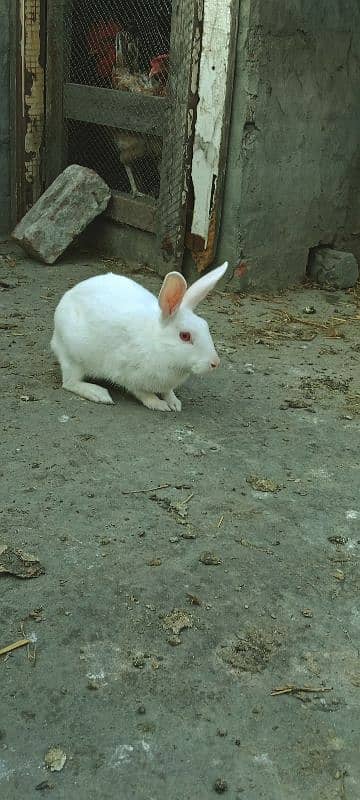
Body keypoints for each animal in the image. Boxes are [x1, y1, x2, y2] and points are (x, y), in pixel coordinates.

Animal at [50, 262, 228, 412]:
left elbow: (168, 392)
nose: (215, 363)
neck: (157, 343)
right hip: (73, 357)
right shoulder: (128, 375)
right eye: (185, 336)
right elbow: (143, 393)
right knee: (70, 382)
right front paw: (159, 405)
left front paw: (175, 403)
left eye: (205, 325)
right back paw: (99, 394)